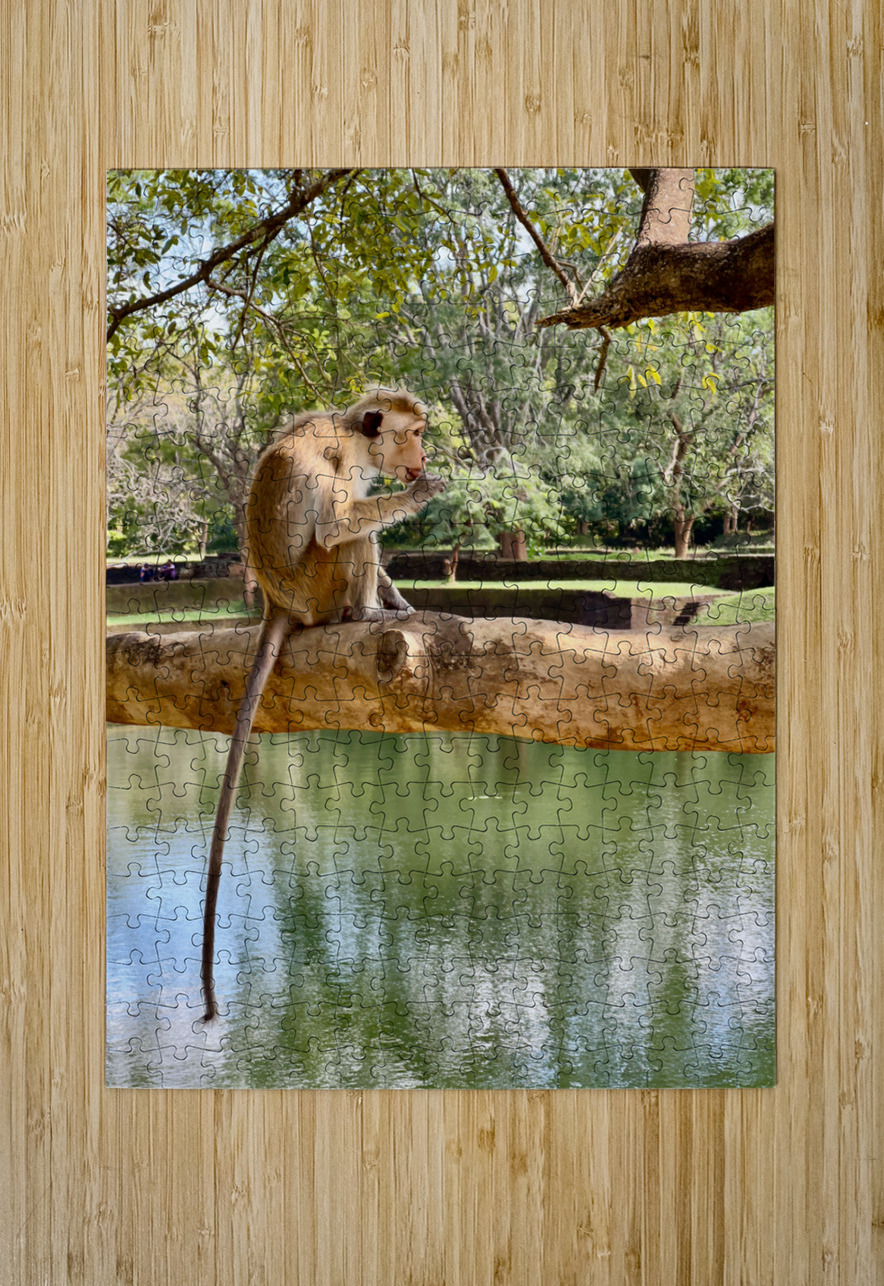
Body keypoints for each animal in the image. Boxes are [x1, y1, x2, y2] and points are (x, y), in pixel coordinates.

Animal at [200, 388, 445, 1020]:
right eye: (414, 434)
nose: (423, 456)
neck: (354, 436)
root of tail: (278, 604)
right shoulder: (336, 461)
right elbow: (337, 527)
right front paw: (415, 498)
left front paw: (403, 599)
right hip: (319, 591)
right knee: (350, 538)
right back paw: (365, 614)